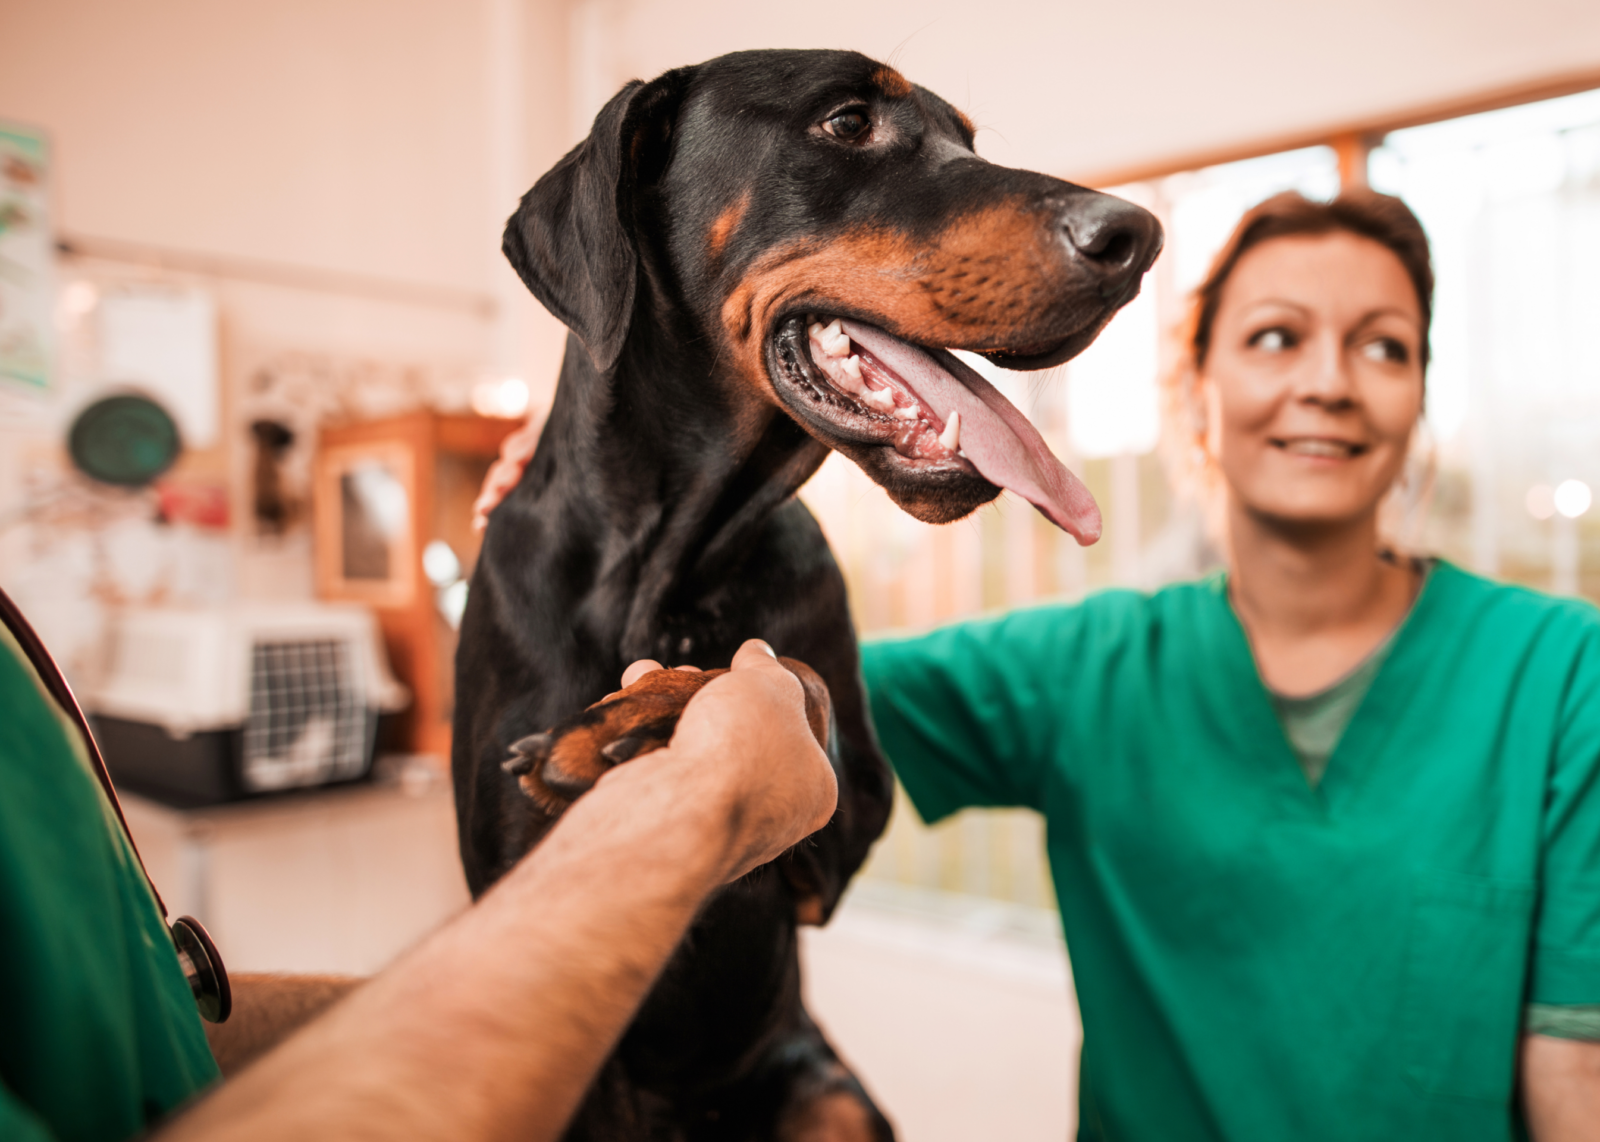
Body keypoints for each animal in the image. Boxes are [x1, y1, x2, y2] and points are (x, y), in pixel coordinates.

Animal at [451, 46, 1164, 1138]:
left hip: (824, 1087)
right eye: (845, 122)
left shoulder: (835, 843)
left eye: (966, 139)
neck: (669, 566)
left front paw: (648, 713)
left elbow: (793, 674)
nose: (1138, 238)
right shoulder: (512, 889)